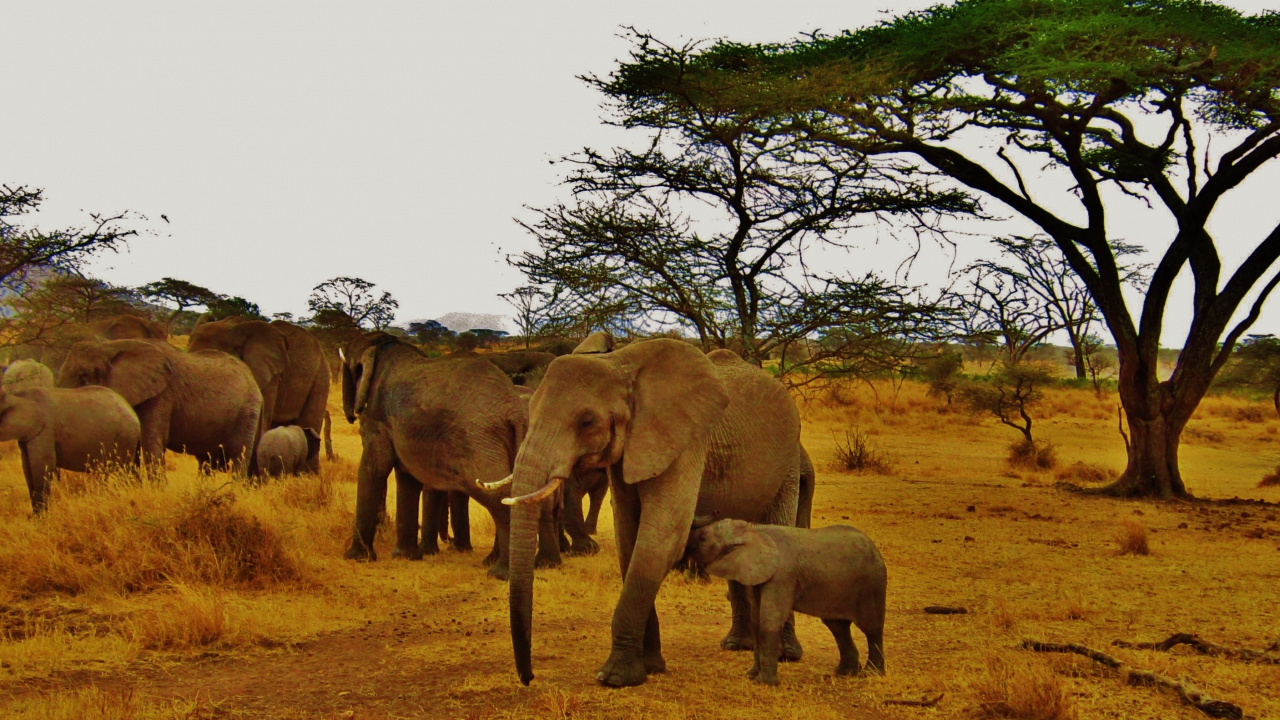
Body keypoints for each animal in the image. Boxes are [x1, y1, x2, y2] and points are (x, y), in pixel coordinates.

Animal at [0, 385, 141, 512]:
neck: (17, 395)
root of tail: (133, 413)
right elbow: (27, 469)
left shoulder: (44, 430)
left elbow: (43, 466)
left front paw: (42, 519)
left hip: (125, 438)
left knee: (123, 472)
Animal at [57, 339, 262, 477]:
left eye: (82, 375)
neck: (112, 345)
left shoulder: (161, 396)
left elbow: (150, 443)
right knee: (206, 461)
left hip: (248, 410)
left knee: (239, 454)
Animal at [340, 332, 546, 579]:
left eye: (349, 368)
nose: (350, 415)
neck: (385, 345)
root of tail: (514, 409)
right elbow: (407, 479)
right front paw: (405, 556)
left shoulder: (377, 416)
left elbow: (374, 469)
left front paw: (355, 557)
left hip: (479, 438)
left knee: (498, 495)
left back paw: (499, 573)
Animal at [506, 339, 808, 687]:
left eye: (587, 421)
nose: (529, 677)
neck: (620, 363)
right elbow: (629, 540)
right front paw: (650, 667)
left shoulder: (686, 442)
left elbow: (660, 540)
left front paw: (615, 677)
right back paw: (737, 645)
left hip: (789, 459)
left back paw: (786, 654)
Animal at [689, 519, 887, 684]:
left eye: (702, 537)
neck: (753, 529)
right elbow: (756, 620)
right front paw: (751, 676)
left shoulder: (782, 575)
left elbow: (770, 619)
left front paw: (765, 683)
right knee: (838, 627)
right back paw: (844, 673)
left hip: (872, 583)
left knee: (871, 628)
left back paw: (871, 674)